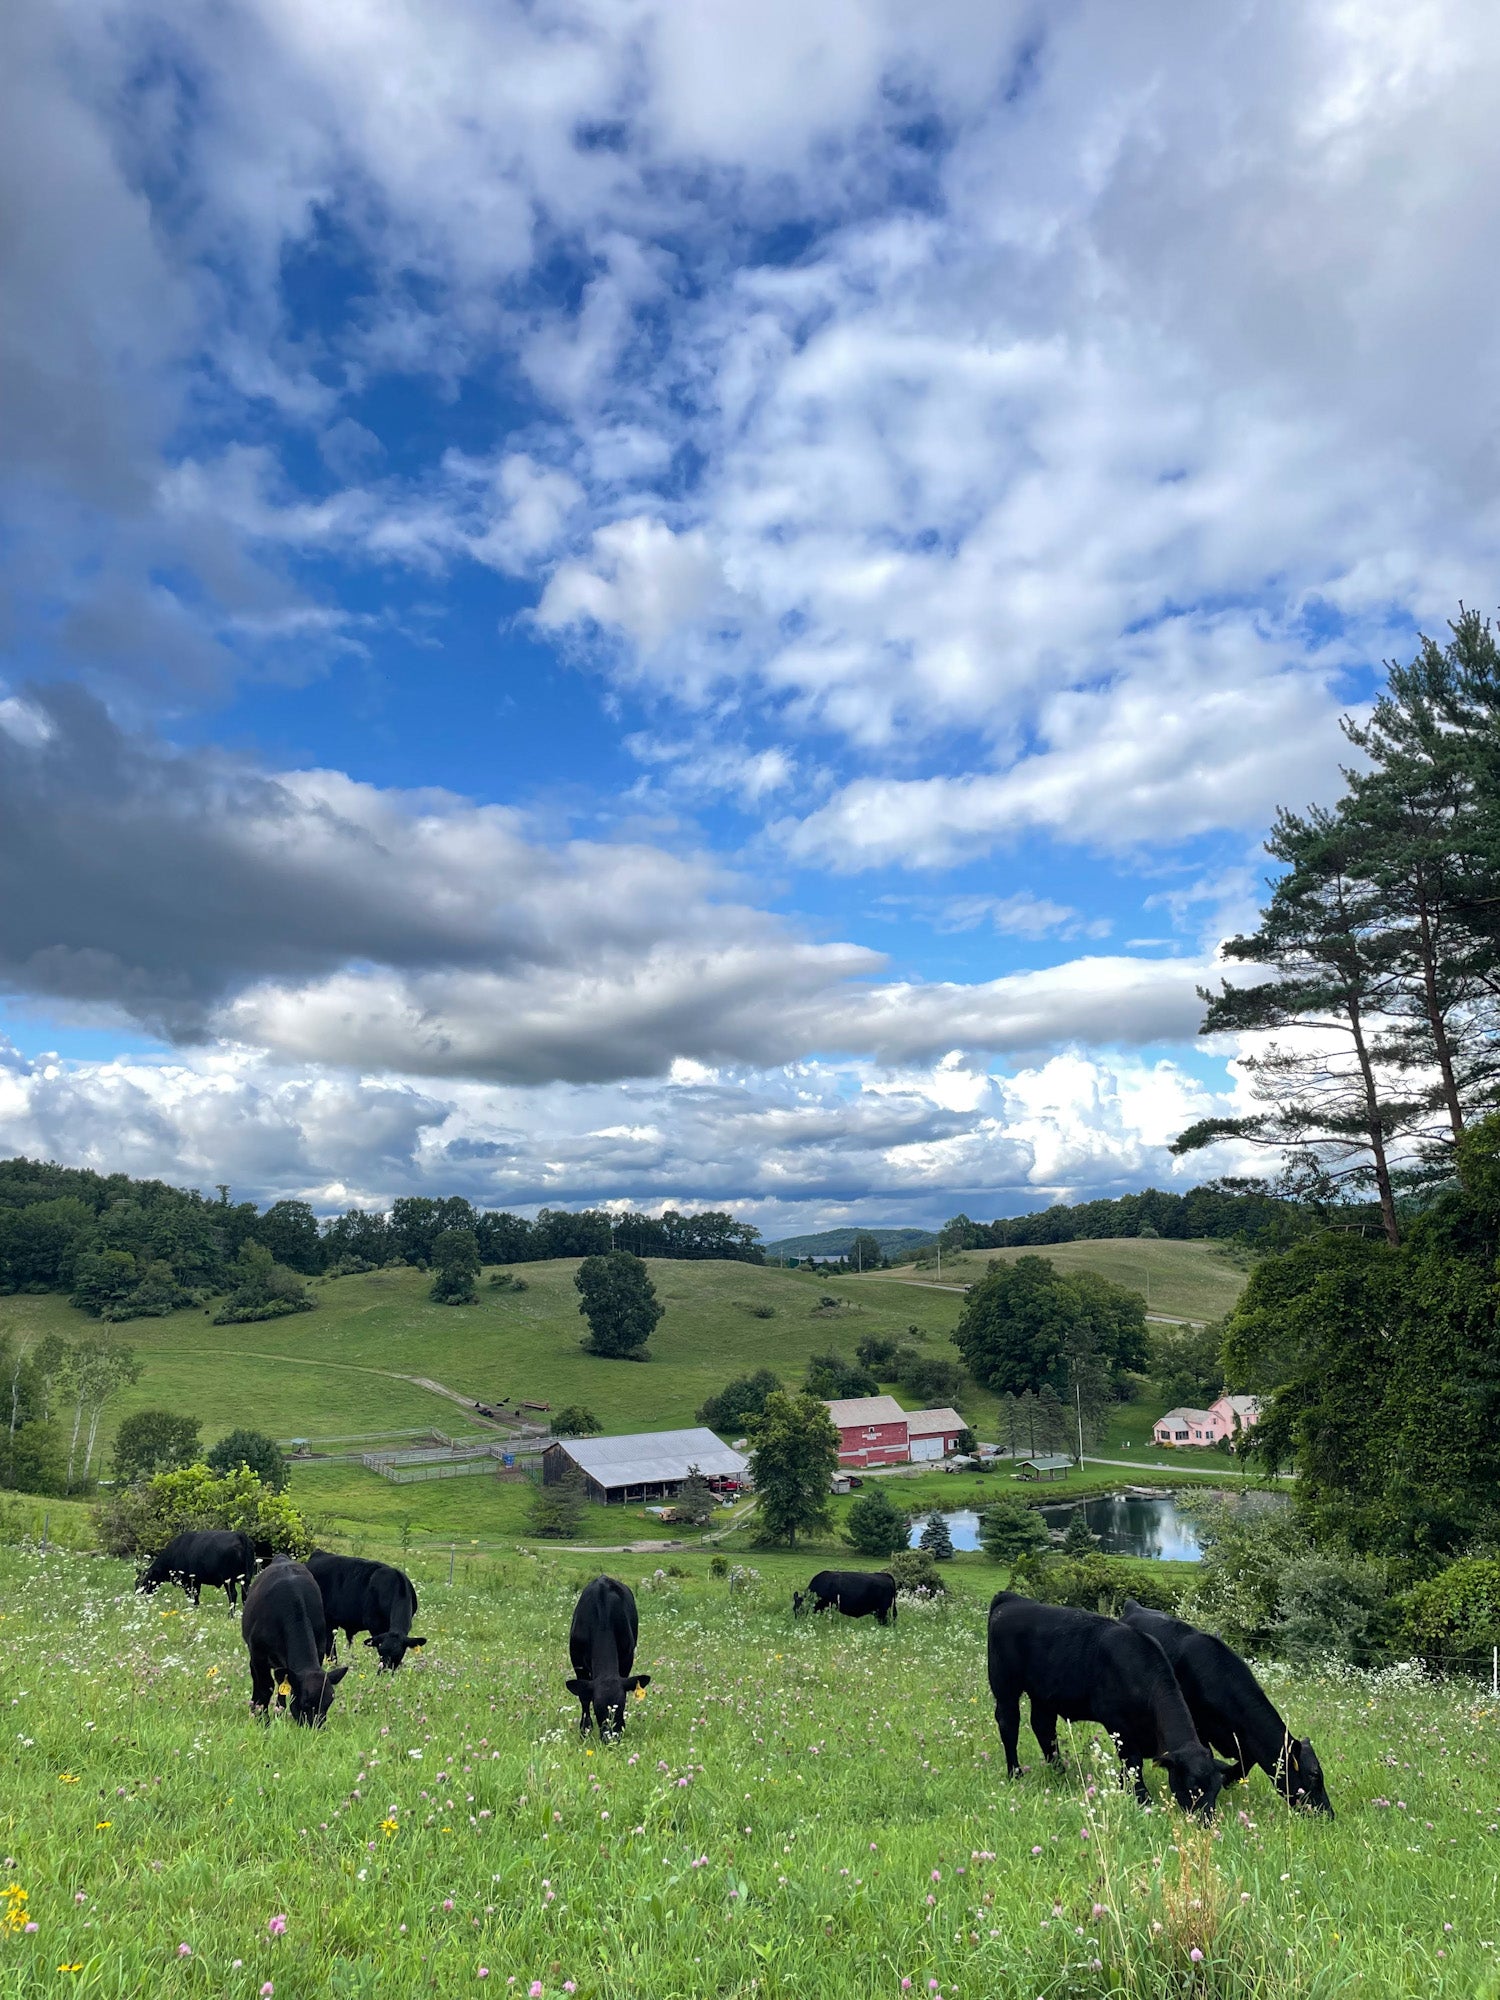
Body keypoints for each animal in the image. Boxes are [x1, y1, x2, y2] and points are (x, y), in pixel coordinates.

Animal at [241, 1556, 348, 1727]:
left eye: (328, 1703)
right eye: (305, 1703)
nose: (316, 1728)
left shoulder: (319, 1649)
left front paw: (278, 1714)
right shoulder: (259, 1656)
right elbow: (265, 1687)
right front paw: (263, 1721)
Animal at [565, 1575, 650, 1737]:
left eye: (621, 1706)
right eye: (598, 1708)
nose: (611, 1737)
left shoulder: (627, 1658)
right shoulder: (577, 1661)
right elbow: (584, 1697)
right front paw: (585, 1730)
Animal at [986, 1591, 1232, 1817]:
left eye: (1217, 1788)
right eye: (1192, 1786)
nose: (1207, 1821)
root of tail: (1012, 1599)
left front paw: (1126, 1790)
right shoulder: (1117, 1722)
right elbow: (1132, 1761)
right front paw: (1142, 1798)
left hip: (1042, 1694)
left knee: (1043, 1728)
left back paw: (1059, 1771)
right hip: (1004, 1686)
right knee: (1009, 1724)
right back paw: (1016, 1773)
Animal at [1120, 1597, 1333, 1815]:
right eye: (1314, 1775)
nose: (1329, 1814)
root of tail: (1134, 1605)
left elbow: (1248, 1759)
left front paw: (1229, 1777)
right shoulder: (1199, 1728)